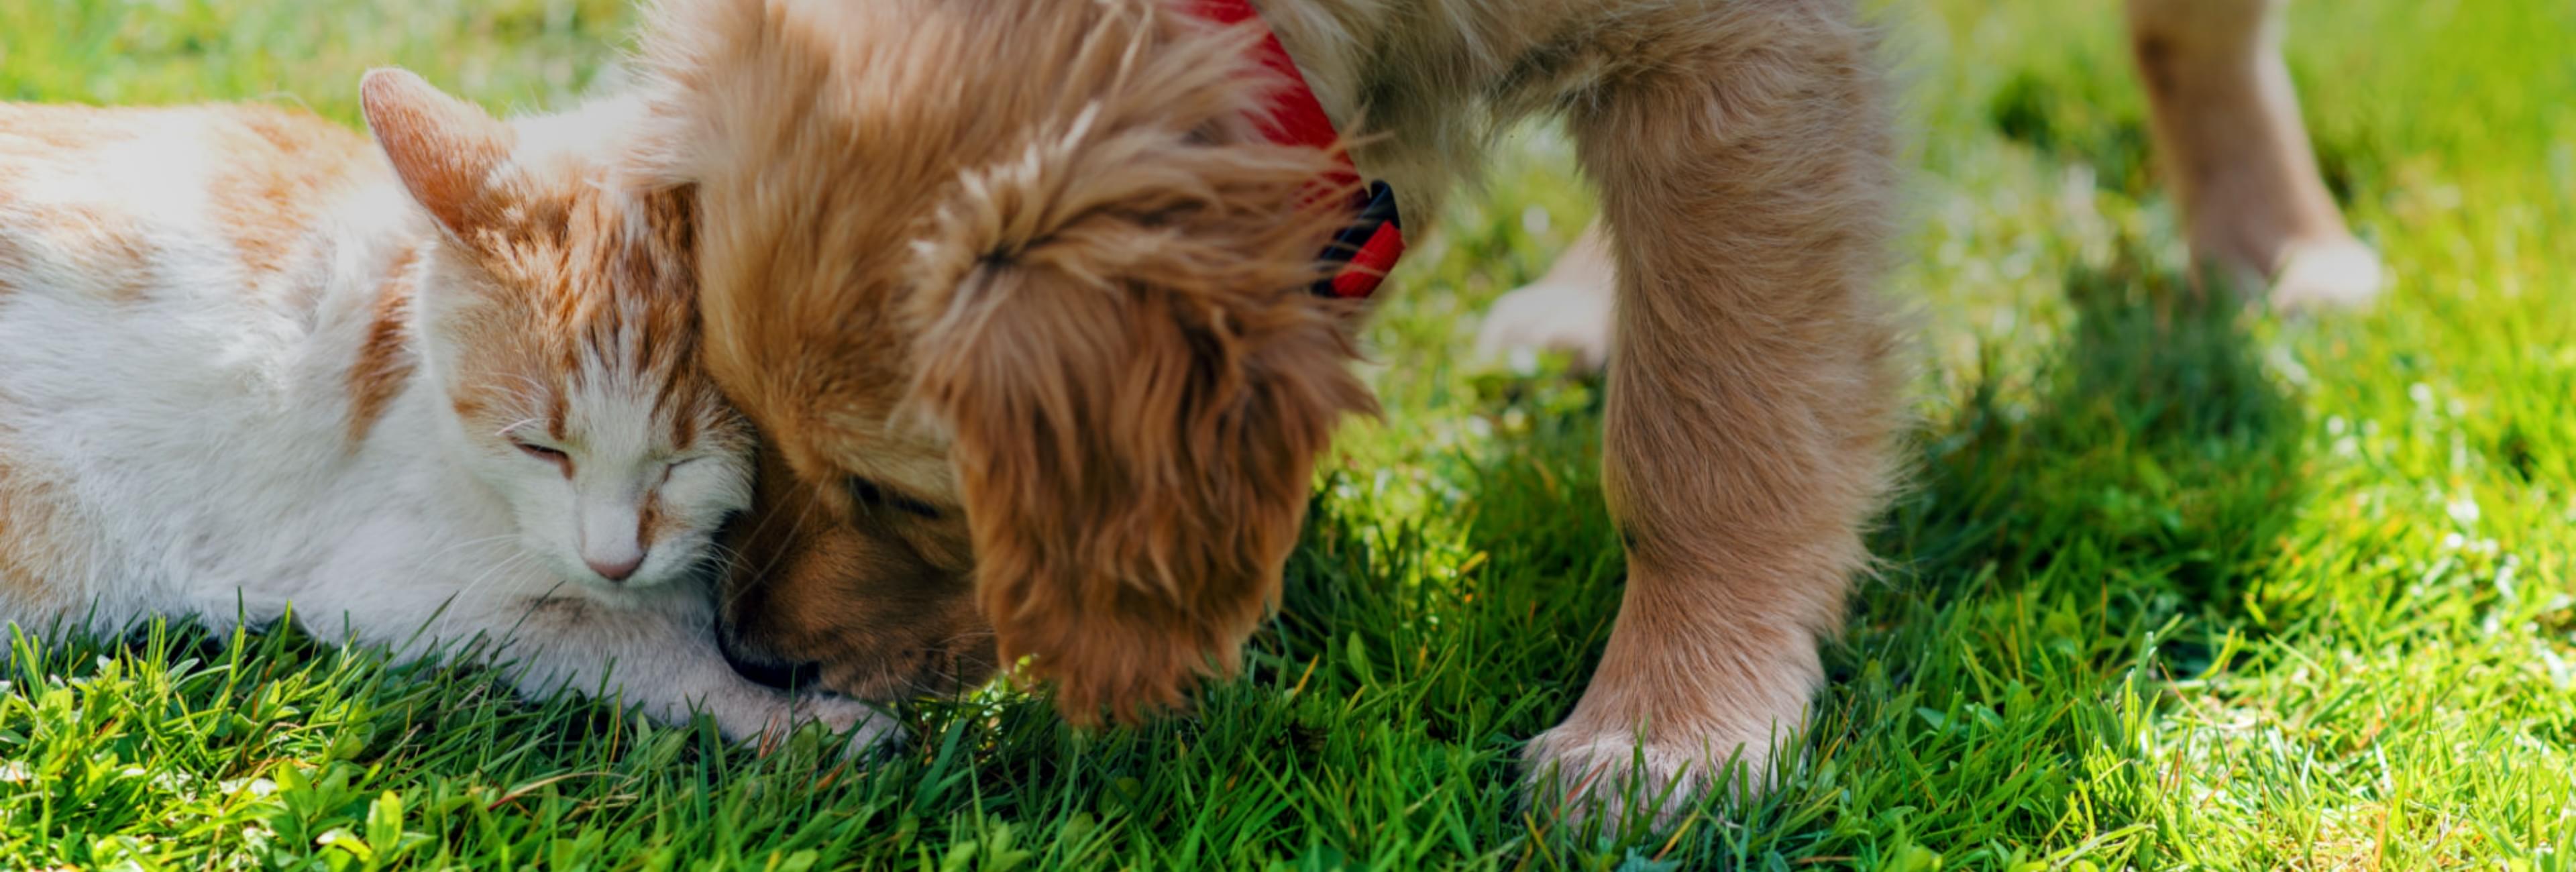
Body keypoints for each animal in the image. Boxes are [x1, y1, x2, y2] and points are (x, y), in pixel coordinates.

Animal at [0, 70, 896, 751]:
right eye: (540, 449)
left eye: (685, 462)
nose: (612, 560)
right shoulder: (405, 590)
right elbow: (637, 646)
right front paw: (804, 723)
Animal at [618, 0, 2369, 828]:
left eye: (910, 494)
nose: (754, 655)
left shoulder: (1758, 58)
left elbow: (1715, 429)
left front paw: (1674, 721)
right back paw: (1590, 310)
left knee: (2194, 38)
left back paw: (2283, 253)